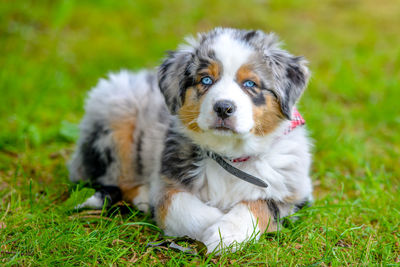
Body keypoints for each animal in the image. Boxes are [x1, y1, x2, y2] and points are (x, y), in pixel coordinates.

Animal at [68, 27, 312, 255]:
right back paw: (145, 197)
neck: (229, 156)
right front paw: (213, 225)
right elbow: (177, 206)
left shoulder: (295, 193)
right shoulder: (166, 178)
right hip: (116, 116)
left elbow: (259, 205)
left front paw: (226, 233)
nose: (223, 108)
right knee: (121, 179)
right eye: (206, 80)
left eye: (250, 84)